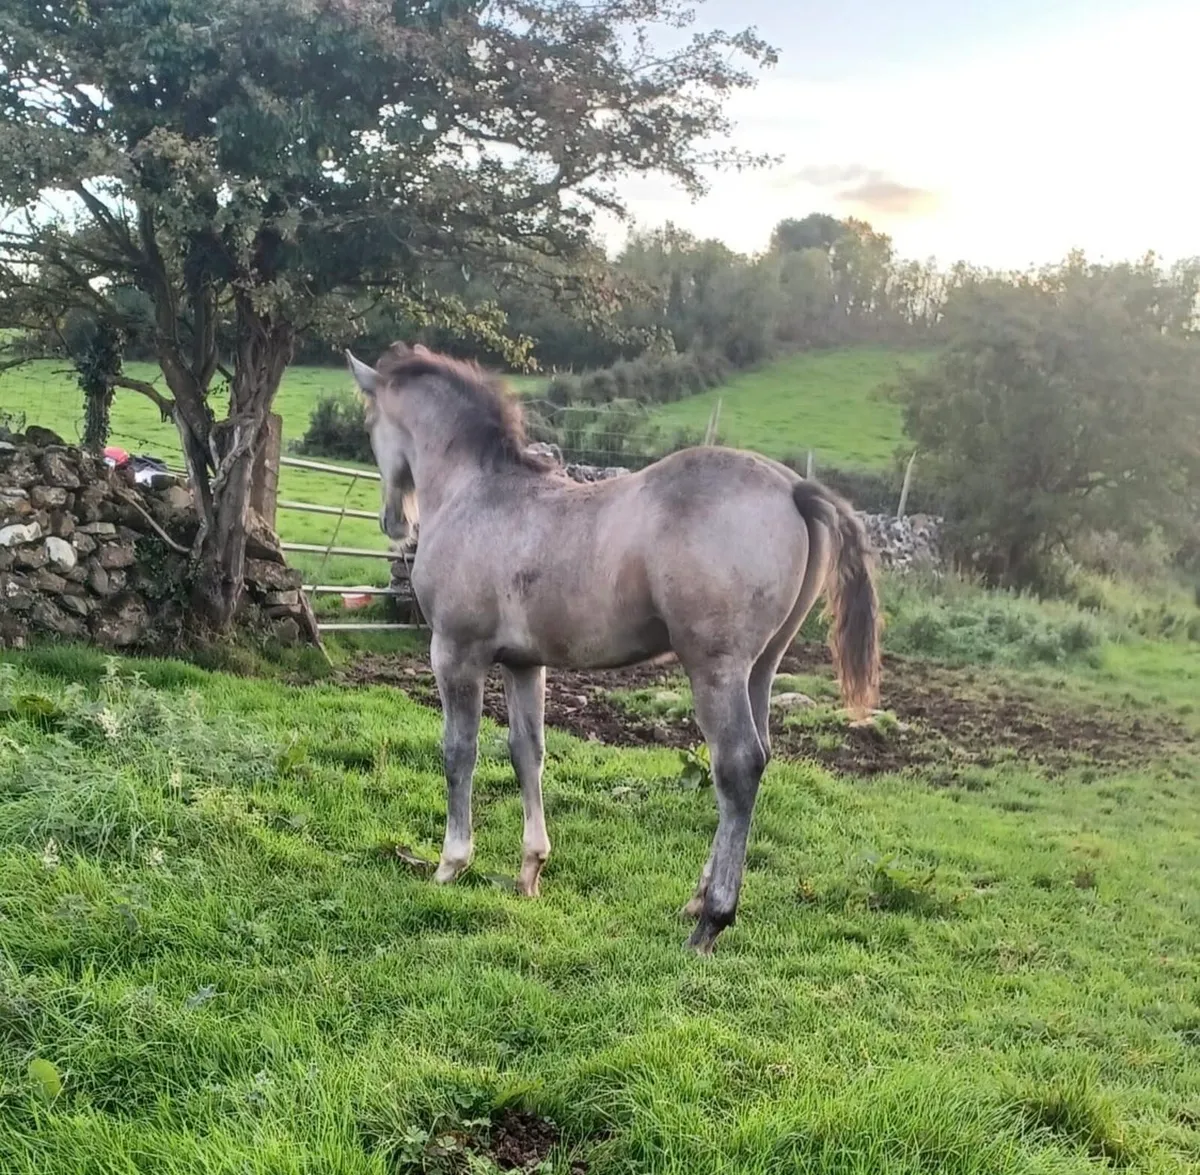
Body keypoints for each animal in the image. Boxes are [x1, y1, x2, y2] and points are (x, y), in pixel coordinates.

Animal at [346, 343, 882, 954]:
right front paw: (529, 871)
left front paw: (450, 863)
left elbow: (460, 751)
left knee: (737, 765)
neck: (478, 494)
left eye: (369, 422)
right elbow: (527, 752)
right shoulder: (525, 664)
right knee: (757, 758)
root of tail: (794, 487)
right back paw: (697, 898)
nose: (394, 522)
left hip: (715, 669)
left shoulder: (457, 653)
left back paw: (711, 920)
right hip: (761, 668)